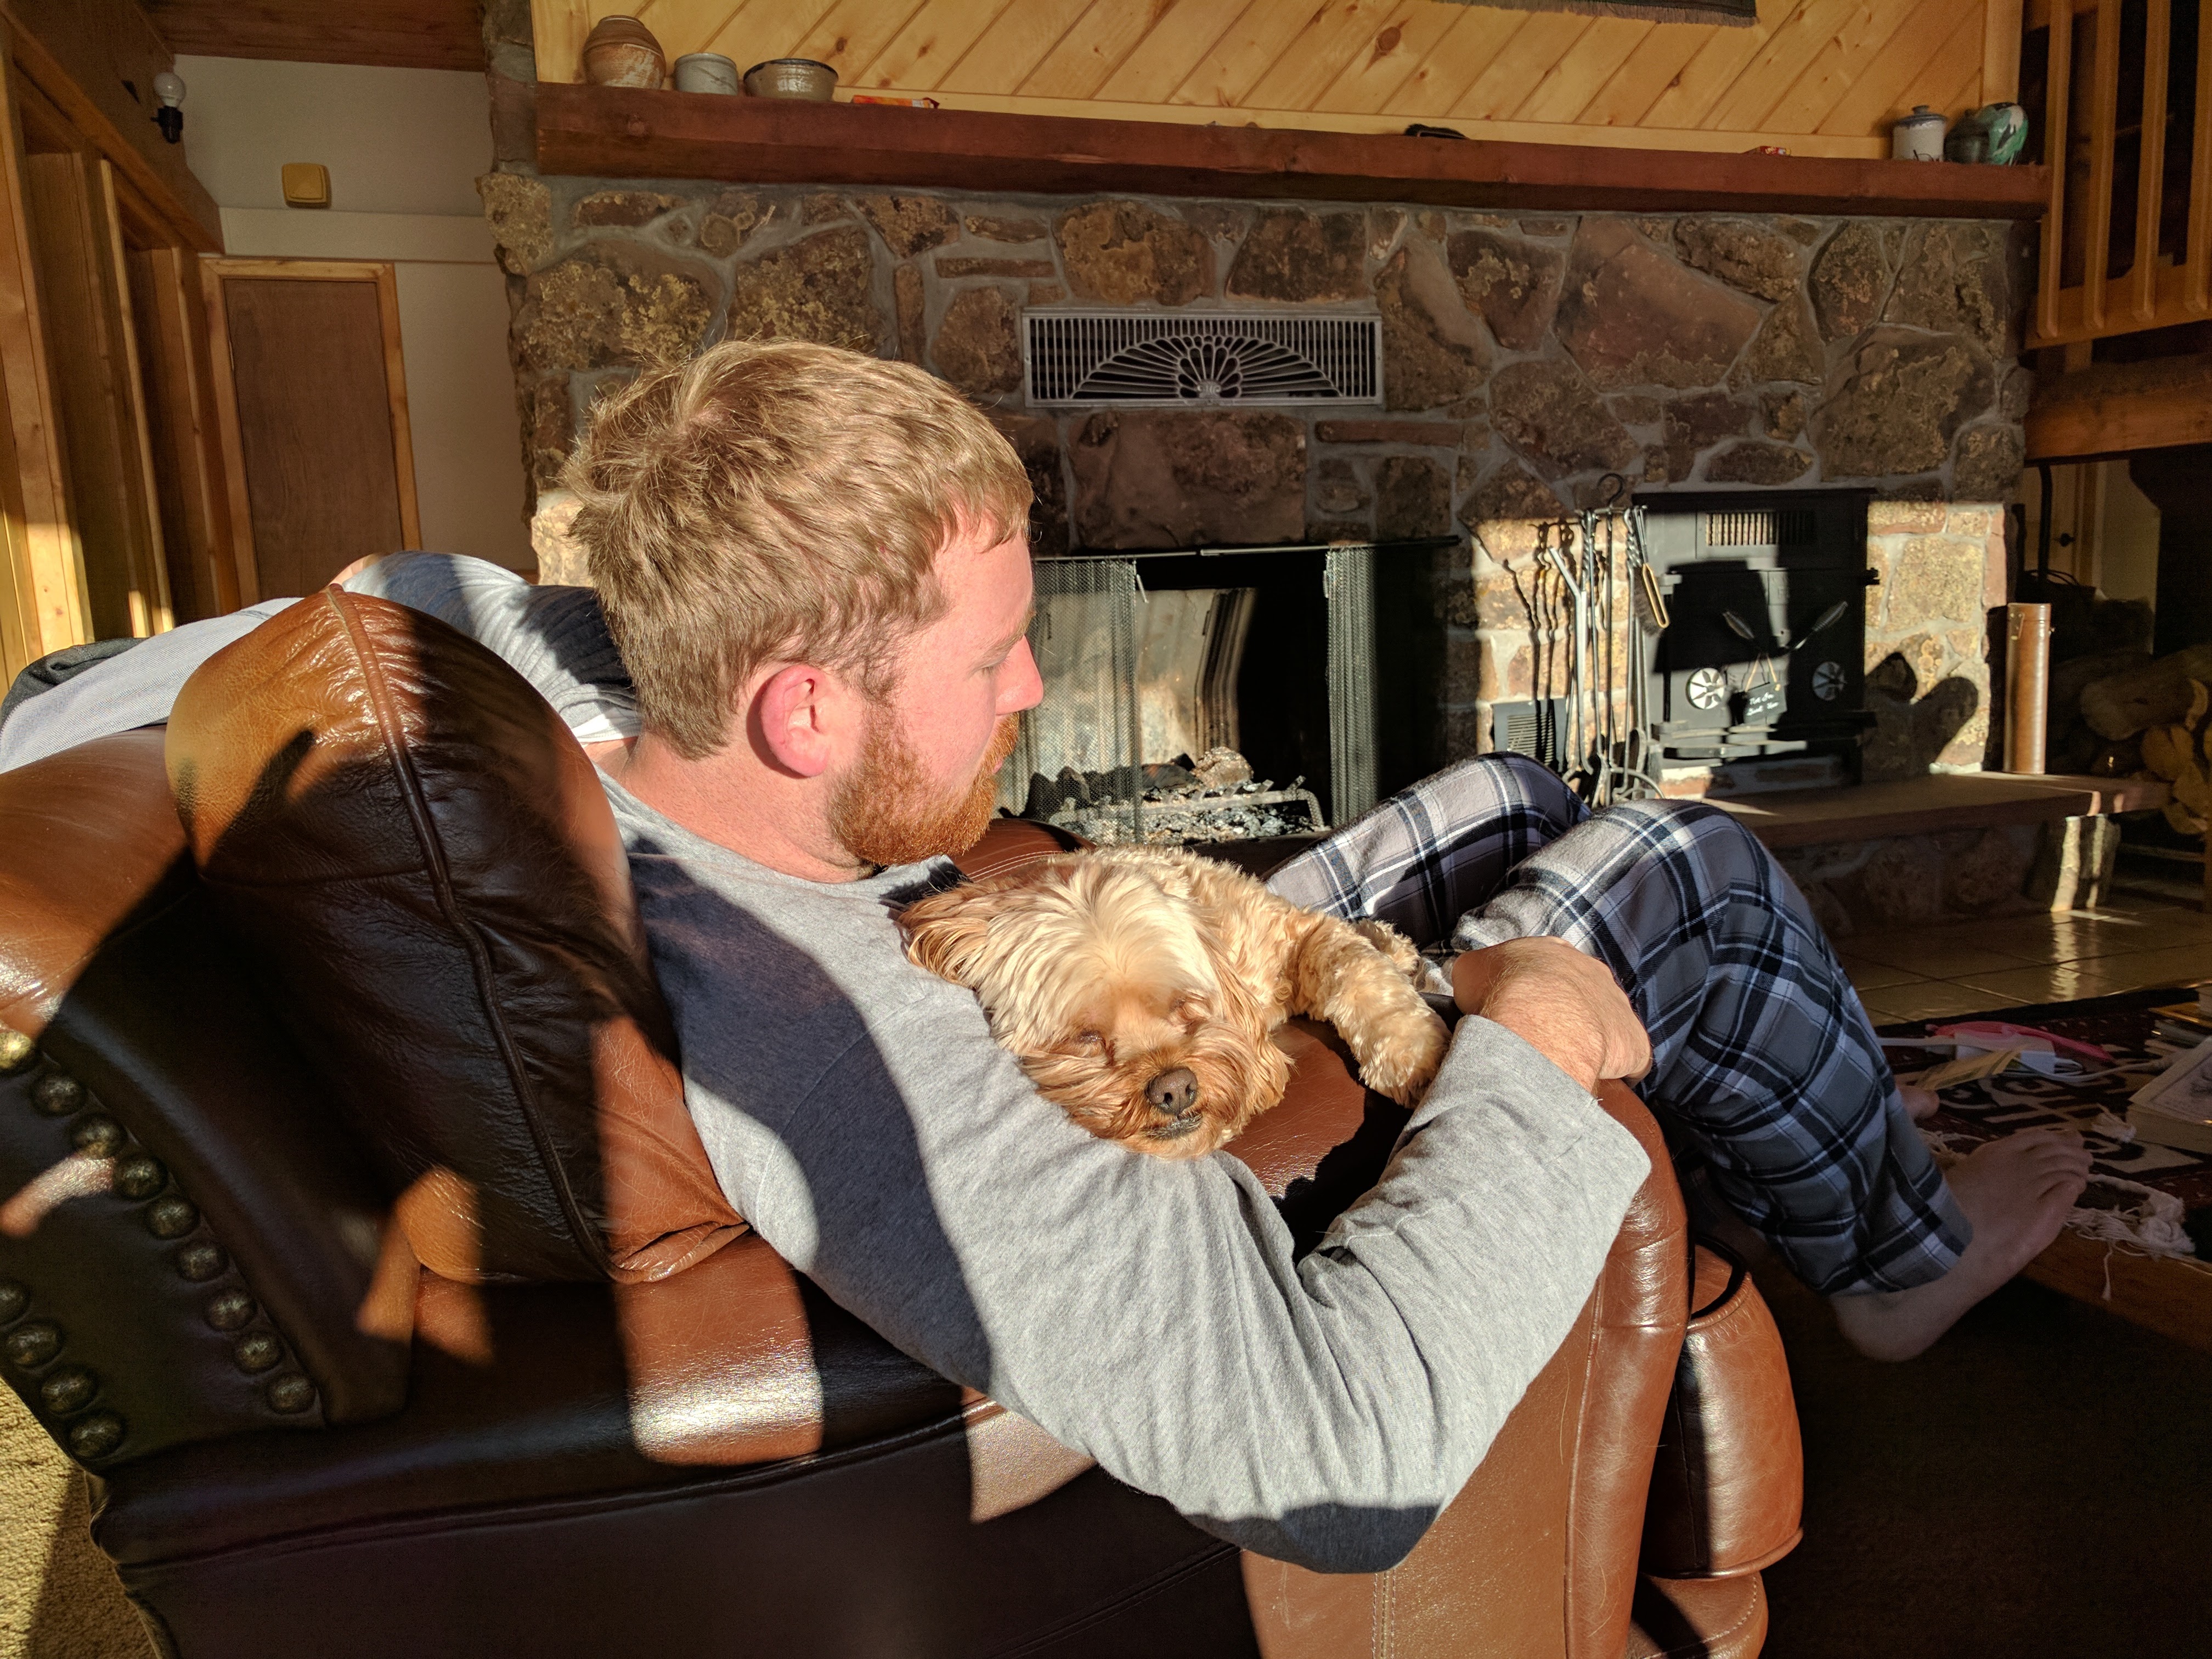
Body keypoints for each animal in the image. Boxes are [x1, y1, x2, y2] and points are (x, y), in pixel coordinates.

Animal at [897, 845, 1450, 1159]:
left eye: (1184, 1005)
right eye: (1084, 1038)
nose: (1175, 1089)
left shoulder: (1295, 935)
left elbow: (1355, 967)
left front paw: (1417, 1055)